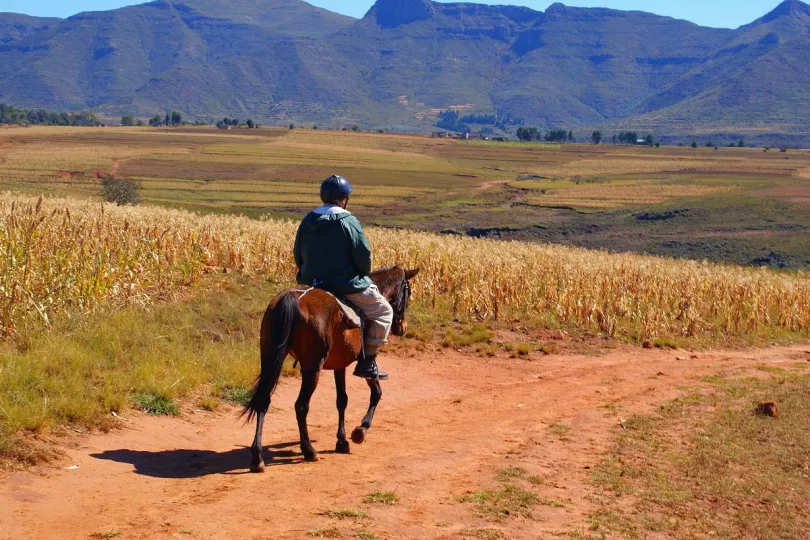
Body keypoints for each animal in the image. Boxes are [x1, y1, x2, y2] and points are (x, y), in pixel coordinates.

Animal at [240, 264, 416, 470]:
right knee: (301, 406)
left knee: (263, 400)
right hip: (312, 368)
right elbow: (376, 392)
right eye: (408, 293)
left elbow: (342, 400)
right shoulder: (364, 360)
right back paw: (309, 450)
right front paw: (360, 430)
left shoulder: (339, 365)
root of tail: (293, 298)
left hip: (270, 358)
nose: (402, 327)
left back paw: (257, 457)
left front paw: (342, 441)